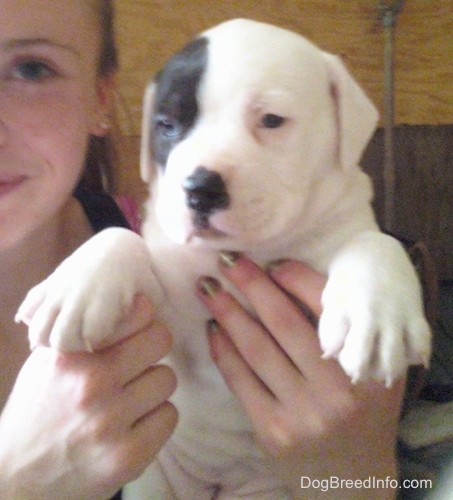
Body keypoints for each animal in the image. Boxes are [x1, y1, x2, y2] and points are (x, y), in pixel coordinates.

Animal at [15, 17, 430, 498]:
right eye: (167, 125)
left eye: (272, 120)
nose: (200, 188)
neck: (246, 249)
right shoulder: (170, 305)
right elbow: (122, 235)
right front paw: (74, 289)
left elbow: (373, 242)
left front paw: (380, 318)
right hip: (159, 482)